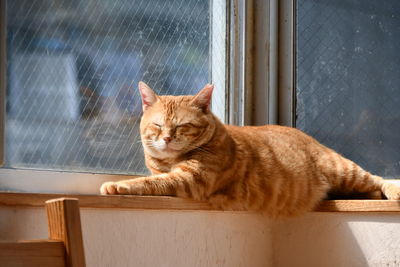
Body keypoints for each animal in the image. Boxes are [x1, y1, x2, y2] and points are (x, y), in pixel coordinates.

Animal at [100, 82, 400, 218]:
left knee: (376, 179)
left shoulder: (189, 178)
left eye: (183, 126)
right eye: (158, 125)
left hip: (343, 169)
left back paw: (391, 190)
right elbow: (153, 177)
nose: (167, 139)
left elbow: (149, 183)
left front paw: (117, 185)